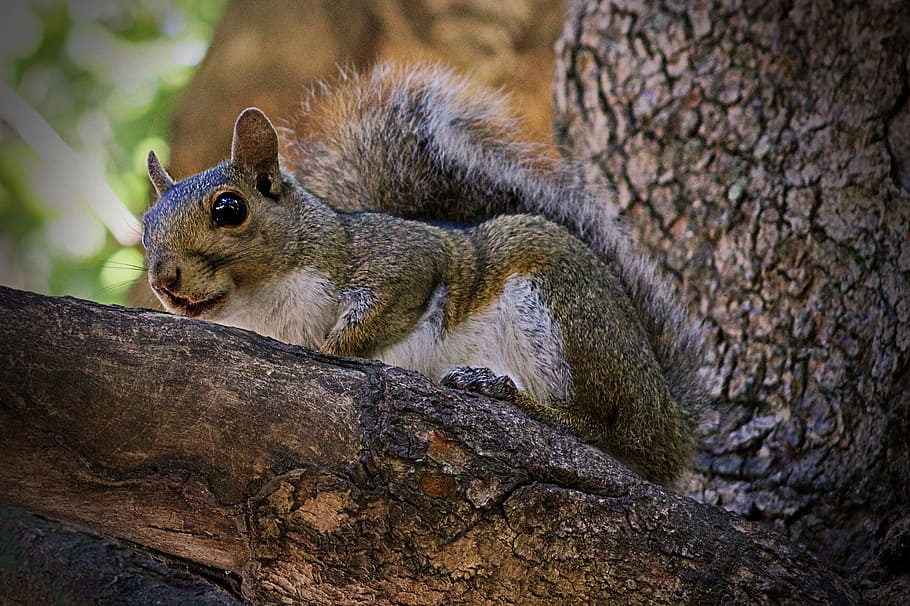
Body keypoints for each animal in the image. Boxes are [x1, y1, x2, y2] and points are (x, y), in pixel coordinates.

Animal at [142, 62, 710, 484]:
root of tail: (669, 420)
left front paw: (334, 349)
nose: (163, 281)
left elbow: (382, 311)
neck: (265, 304)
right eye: (145, 228)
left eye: (230, 208)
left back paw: (503, 392)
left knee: (603, 426)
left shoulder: (403, 260)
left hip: (562, 306)